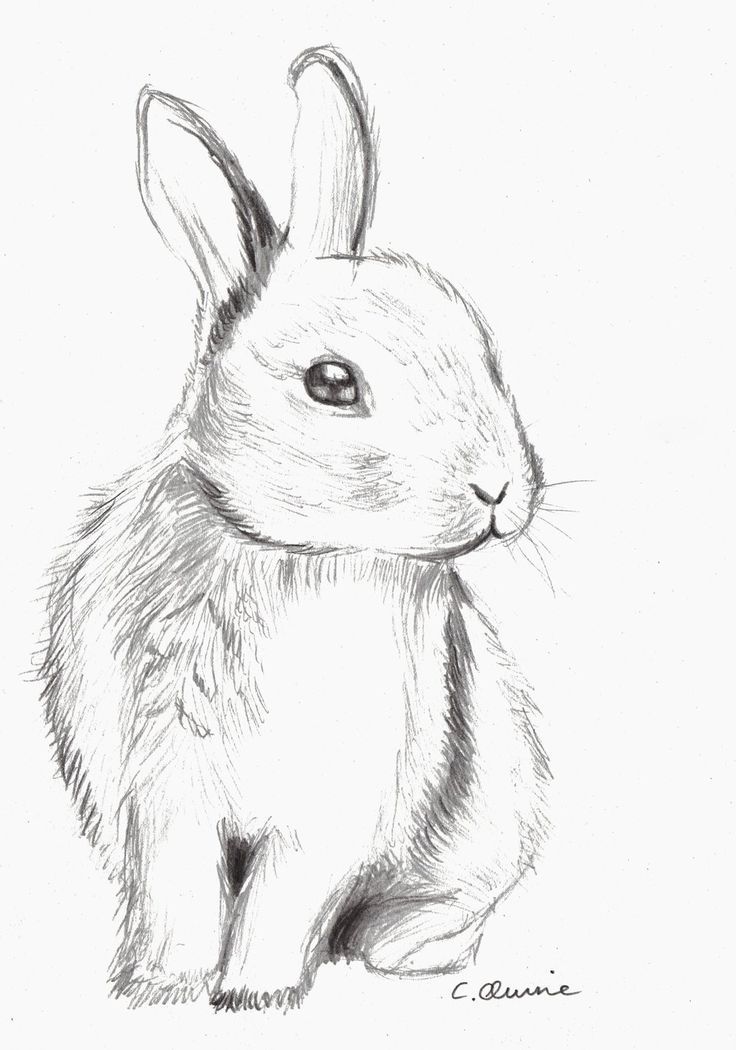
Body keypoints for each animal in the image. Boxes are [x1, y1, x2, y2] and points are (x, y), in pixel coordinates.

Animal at [40, 45, 551, 1011]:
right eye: (330, 383)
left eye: (479, 346)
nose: (500, 488)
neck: (280, 550)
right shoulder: (162, 795)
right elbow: (182, 892)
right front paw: (162, 987)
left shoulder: (330, 809)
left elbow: (285, 895)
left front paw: (254, 994)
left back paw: (399, 949)